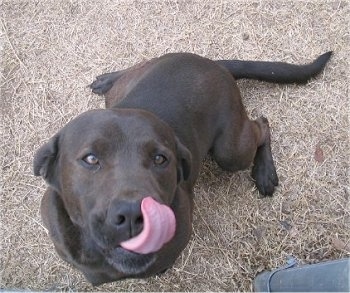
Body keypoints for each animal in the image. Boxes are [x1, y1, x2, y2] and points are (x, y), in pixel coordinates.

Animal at [32, 51, 330, 284]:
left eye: (160, 159)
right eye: (91, 159)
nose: (132, 215)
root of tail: (211, 62)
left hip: (230, 150)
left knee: (262, 124)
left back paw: (265, 172)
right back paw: (108, 78)